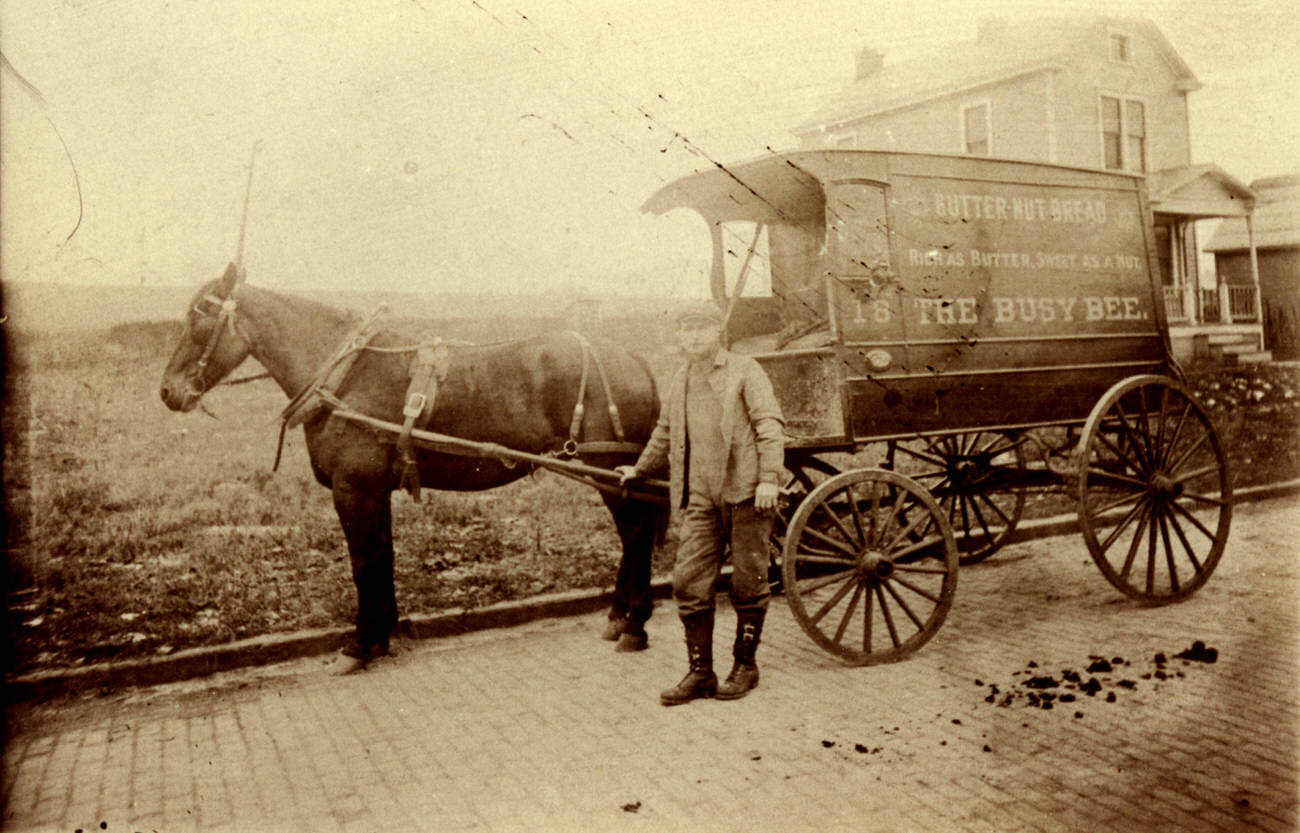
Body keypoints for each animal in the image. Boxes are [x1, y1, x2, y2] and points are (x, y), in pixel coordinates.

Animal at [159, 262, 670, 670]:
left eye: (198, 318)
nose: (167, 392)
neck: (345, 376)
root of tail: (634, 358)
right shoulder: (375, 491)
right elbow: (383, 556)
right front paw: (383, 634)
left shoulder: (353, 490)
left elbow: (363, 562)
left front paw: (358, 645)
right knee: (633, 535)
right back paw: (619, 616)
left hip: (608, 468)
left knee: (636, 533)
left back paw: (634, 625)